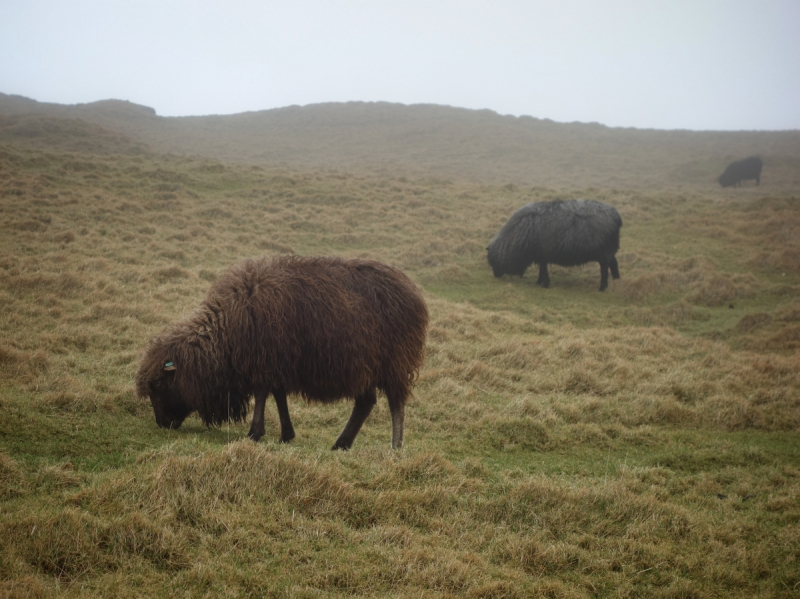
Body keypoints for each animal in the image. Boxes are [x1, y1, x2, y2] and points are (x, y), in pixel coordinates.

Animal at [136, 254, 432, 450]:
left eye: (159, 384)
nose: (162, 423)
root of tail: (413, 291)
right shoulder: (276, 362)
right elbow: (278, 395)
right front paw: (285, 434)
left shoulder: (264, 359)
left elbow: (262, 393)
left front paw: (254, 433)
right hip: (365, 366)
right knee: (366, 402)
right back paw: (342, 443)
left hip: (394, 361)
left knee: (396, 403)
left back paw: (395, 446)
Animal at [484, 200, 620, 292]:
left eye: (495, 261)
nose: (496, 275)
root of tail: (616, 216)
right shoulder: (540, 255)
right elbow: (541, 269)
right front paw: (539, 281)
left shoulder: (542, 254)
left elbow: (544, 269)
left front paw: (544, 284)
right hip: (609, 251)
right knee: (614, 263)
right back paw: (616, 280)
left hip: (603, 253)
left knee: (604, 268)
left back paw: (603, 287)